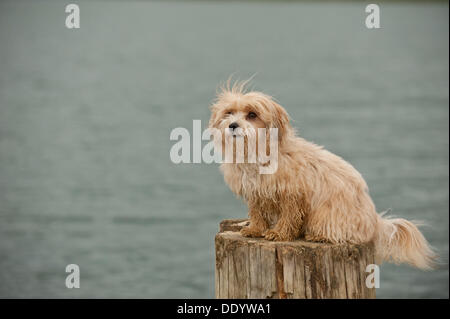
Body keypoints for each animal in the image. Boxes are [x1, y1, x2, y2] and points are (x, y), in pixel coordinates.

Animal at [210, 79, 436, 270]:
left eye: (252, 115)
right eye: (229, 112)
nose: (232, 125)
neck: (258, 153)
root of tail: (374, 222)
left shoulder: (293, 194)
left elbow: (289, 216)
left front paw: (279, 233)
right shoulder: (256, 193)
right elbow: (257, 212)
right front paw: (255, 229)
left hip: (326, 215)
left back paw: (319, 236)